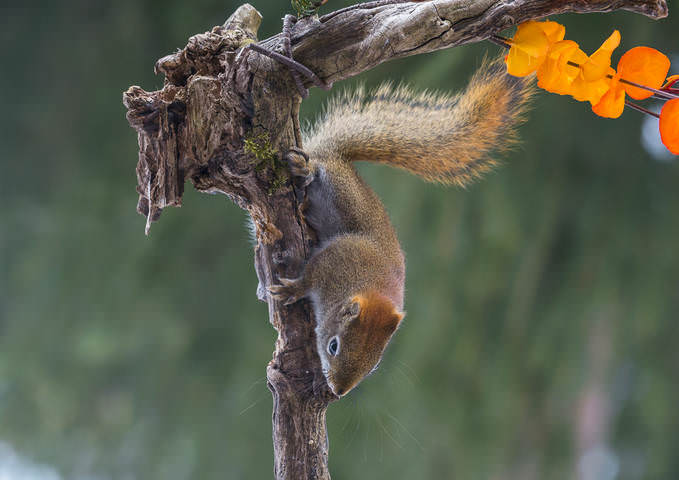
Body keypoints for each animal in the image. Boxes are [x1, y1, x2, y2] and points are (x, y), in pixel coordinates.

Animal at [268, 57, 533, 397]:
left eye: (374, 366)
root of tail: (340, 159)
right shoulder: (334, 260)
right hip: (337, 187)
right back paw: (305, 168)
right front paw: (294, 288)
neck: (364, 286)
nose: (339, 392)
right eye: (333, 346)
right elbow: (309, 276)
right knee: (317, 168)